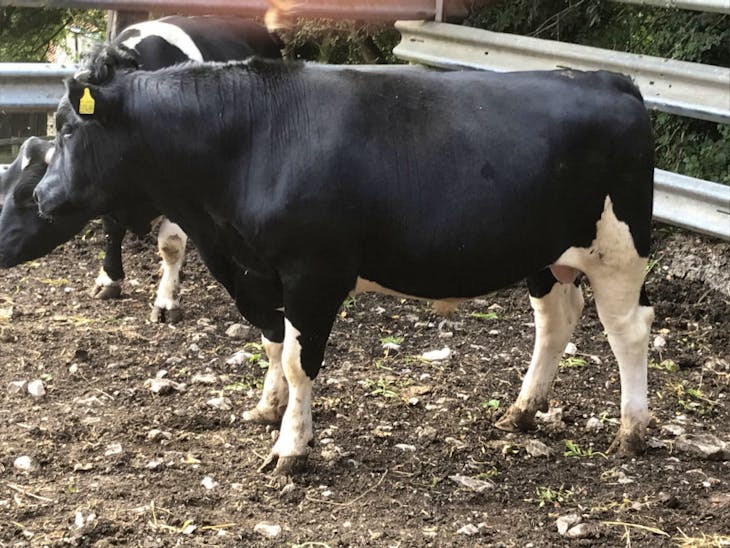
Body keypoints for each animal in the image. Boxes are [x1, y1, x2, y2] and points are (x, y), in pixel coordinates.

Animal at [34, 49, 655, 476]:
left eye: (66, 128)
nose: (40, 195)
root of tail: (607, 79)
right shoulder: (255, 271)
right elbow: (272, 343)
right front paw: (268, 410)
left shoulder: (313, 272)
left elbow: (297, 360)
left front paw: (290, 447)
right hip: (544, 257)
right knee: (556, 320)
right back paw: (522, 410)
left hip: (619, 252)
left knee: (629, 331)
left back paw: (631, 433)